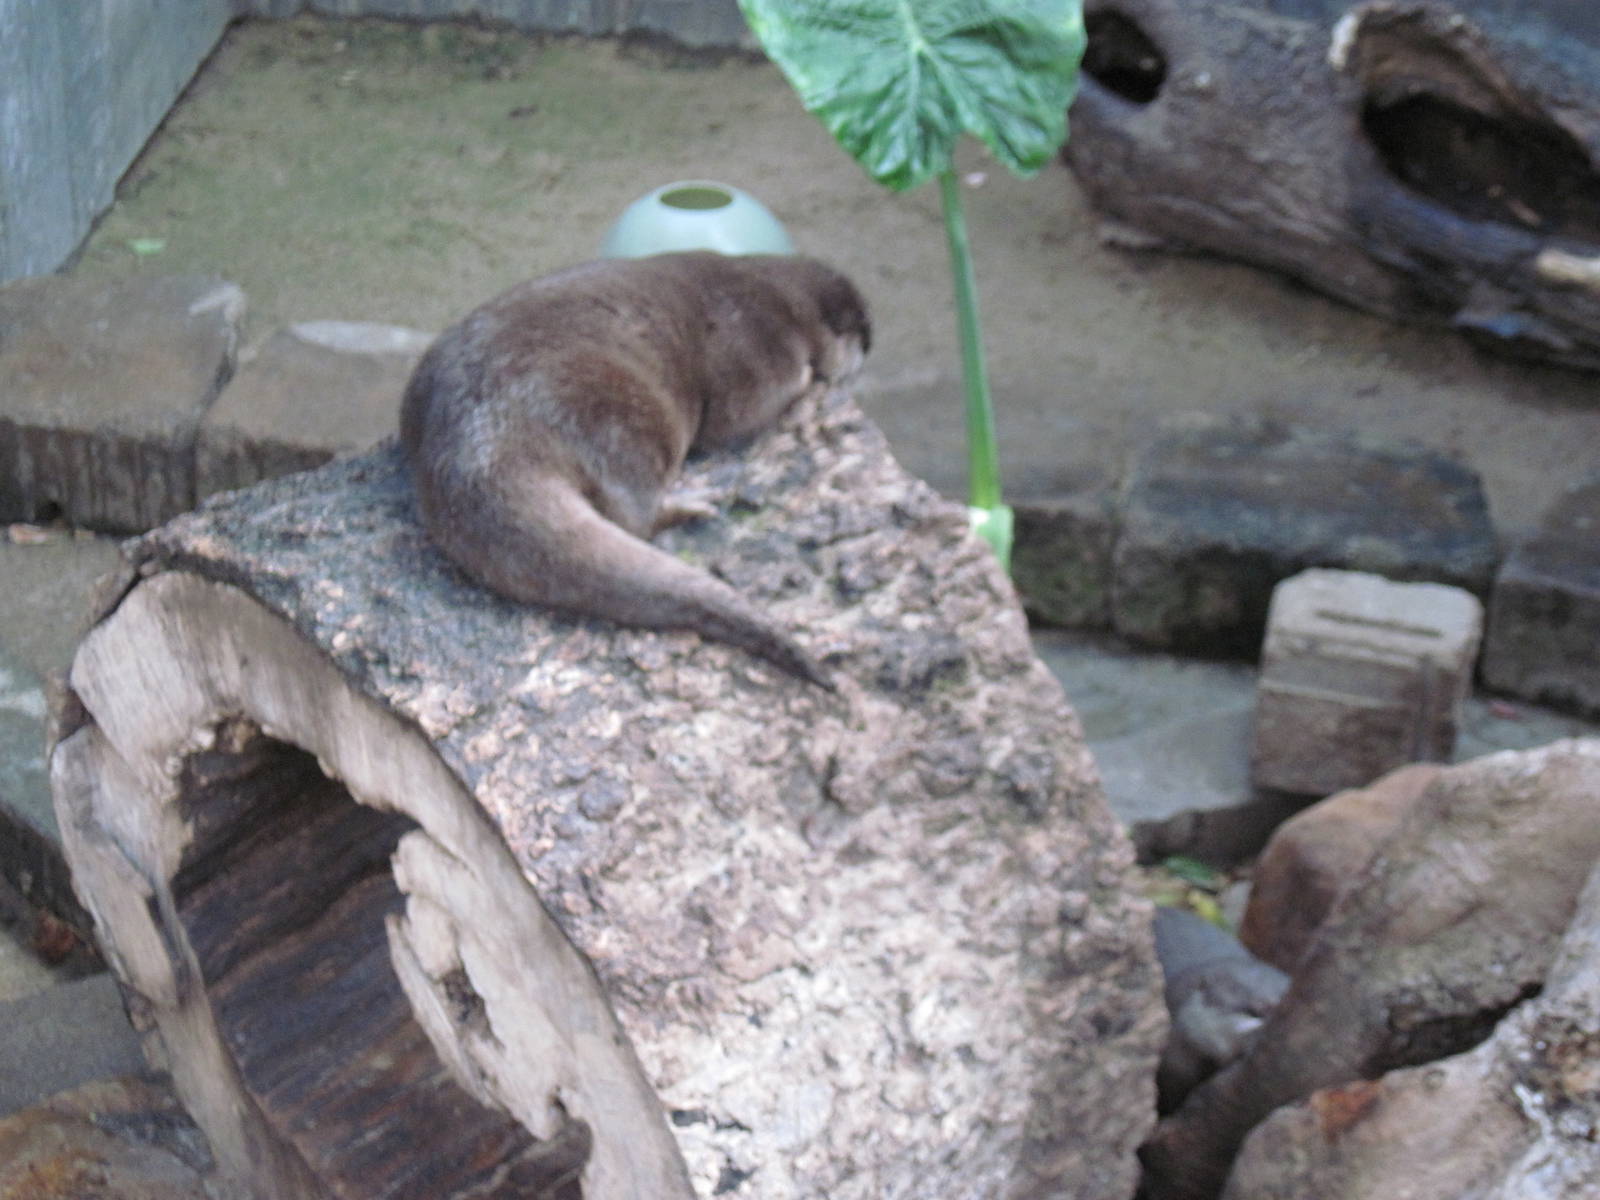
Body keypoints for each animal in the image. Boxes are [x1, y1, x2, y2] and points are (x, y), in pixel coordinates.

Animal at [399, 251, 871, 688]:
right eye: (863, 337)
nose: (864, 354)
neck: (782, 297)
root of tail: (476, 443)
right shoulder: (758, 346)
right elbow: (746, 412)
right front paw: (813, 379)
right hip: (620, 413)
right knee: (635, 510)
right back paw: (695, 501)